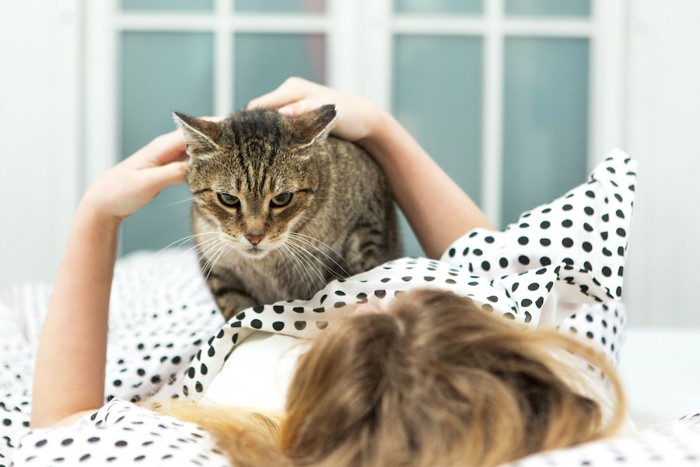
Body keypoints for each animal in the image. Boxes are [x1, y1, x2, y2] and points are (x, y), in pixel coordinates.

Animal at [173, 104, 402, 320]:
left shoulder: (366, 231)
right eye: (228, 198)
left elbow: (343, 288)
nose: (254, 237)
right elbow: (239, 312)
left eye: (282, 198)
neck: (267, 264)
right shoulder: (219, 271)